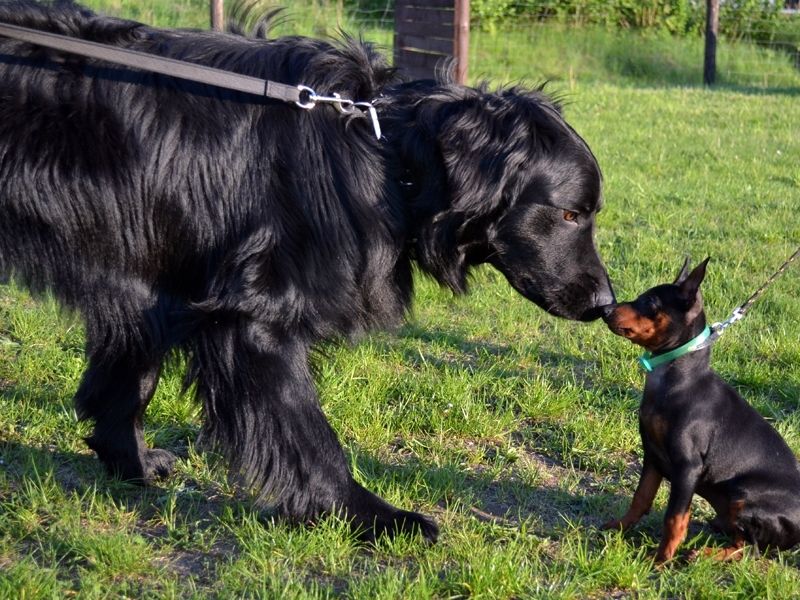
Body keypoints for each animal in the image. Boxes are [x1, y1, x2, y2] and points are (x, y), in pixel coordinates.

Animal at [0, 1, 612, 544]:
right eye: (570, 214)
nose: (607, 303)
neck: (380, 151)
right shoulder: (255, 318)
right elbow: (306, 430)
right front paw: (366, 515)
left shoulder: (160, 278)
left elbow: (131, 378)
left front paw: (129, 462)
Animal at [604, 258, 800, 564]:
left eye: (650, 302)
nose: (605, 310)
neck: (677, 380)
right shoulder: (652, 455)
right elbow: (641, 498)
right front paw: (620, 527)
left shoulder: (688, 467)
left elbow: (675, 518)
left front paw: (661, 560)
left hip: (742, 496)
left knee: (750, 549)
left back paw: (704, 554)